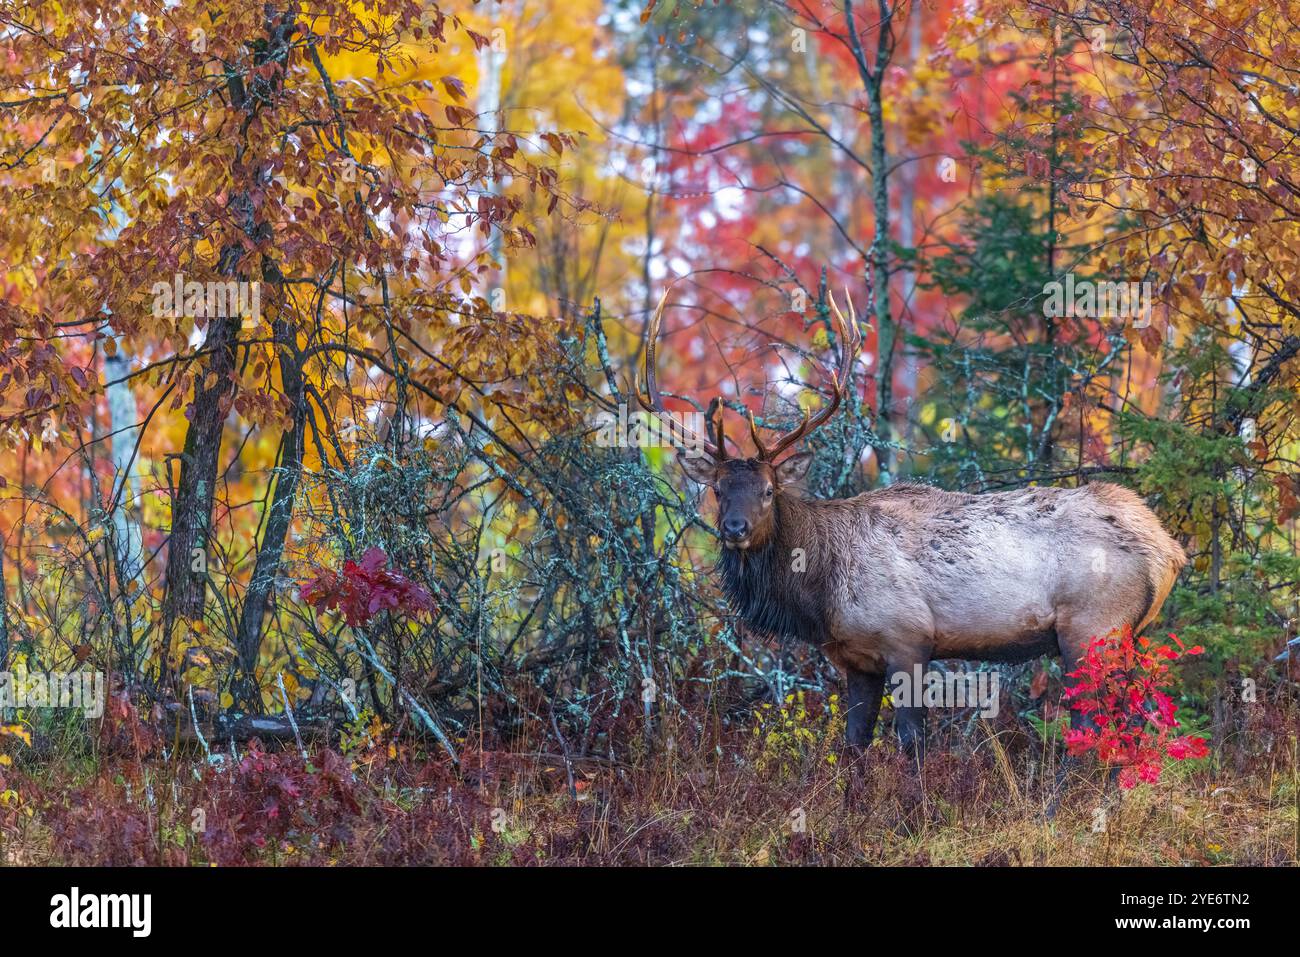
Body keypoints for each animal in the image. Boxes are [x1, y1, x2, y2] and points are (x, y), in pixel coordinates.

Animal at [639, 287, 1190, 759]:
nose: (734, 528)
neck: (819, 592)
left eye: (769, 491)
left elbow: (912, 742)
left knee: (1093, 725)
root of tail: (1167, 550)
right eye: (716, 490)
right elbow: (854, 745)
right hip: (1126, 635)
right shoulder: (855, 659)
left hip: (1093, 628)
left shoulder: (908, 638)